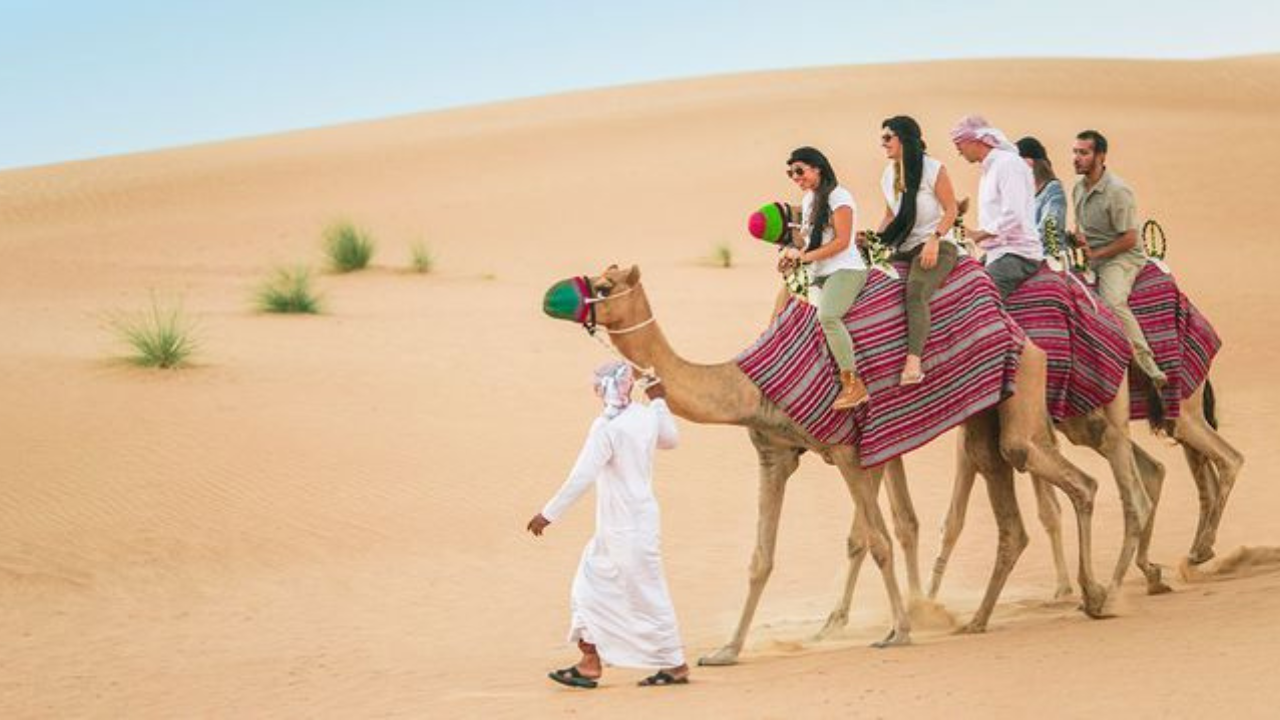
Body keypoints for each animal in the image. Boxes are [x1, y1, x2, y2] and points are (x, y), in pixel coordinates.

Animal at [540, 262, 1111, 661]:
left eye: (605, 285)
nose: (551, 298)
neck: (746, 384)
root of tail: (1011, 320)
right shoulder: (774, 455)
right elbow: (761, 557)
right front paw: (726, 651)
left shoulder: (848, 451)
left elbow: (877, 540)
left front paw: (900, 631)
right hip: (983, 416)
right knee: (1015, 502)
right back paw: (988, 618)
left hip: (1023, 386)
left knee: (1067, 476)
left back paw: (1096, 594)